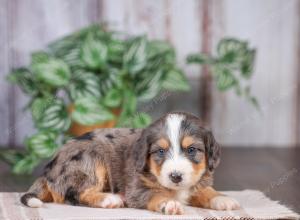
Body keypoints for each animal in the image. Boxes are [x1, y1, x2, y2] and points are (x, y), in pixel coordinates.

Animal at [21, 112, 239, 214]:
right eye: (160, 151)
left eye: (192, 150)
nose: (176, 176)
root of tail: (47, 170)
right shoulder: (137, 189)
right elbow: (155, 194)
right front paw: (168, 203)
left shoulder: (195, 182)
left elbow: (205, 191)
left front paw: (222, 199)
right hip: (90, 159)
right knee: (73, 194)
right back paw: (109, 199)